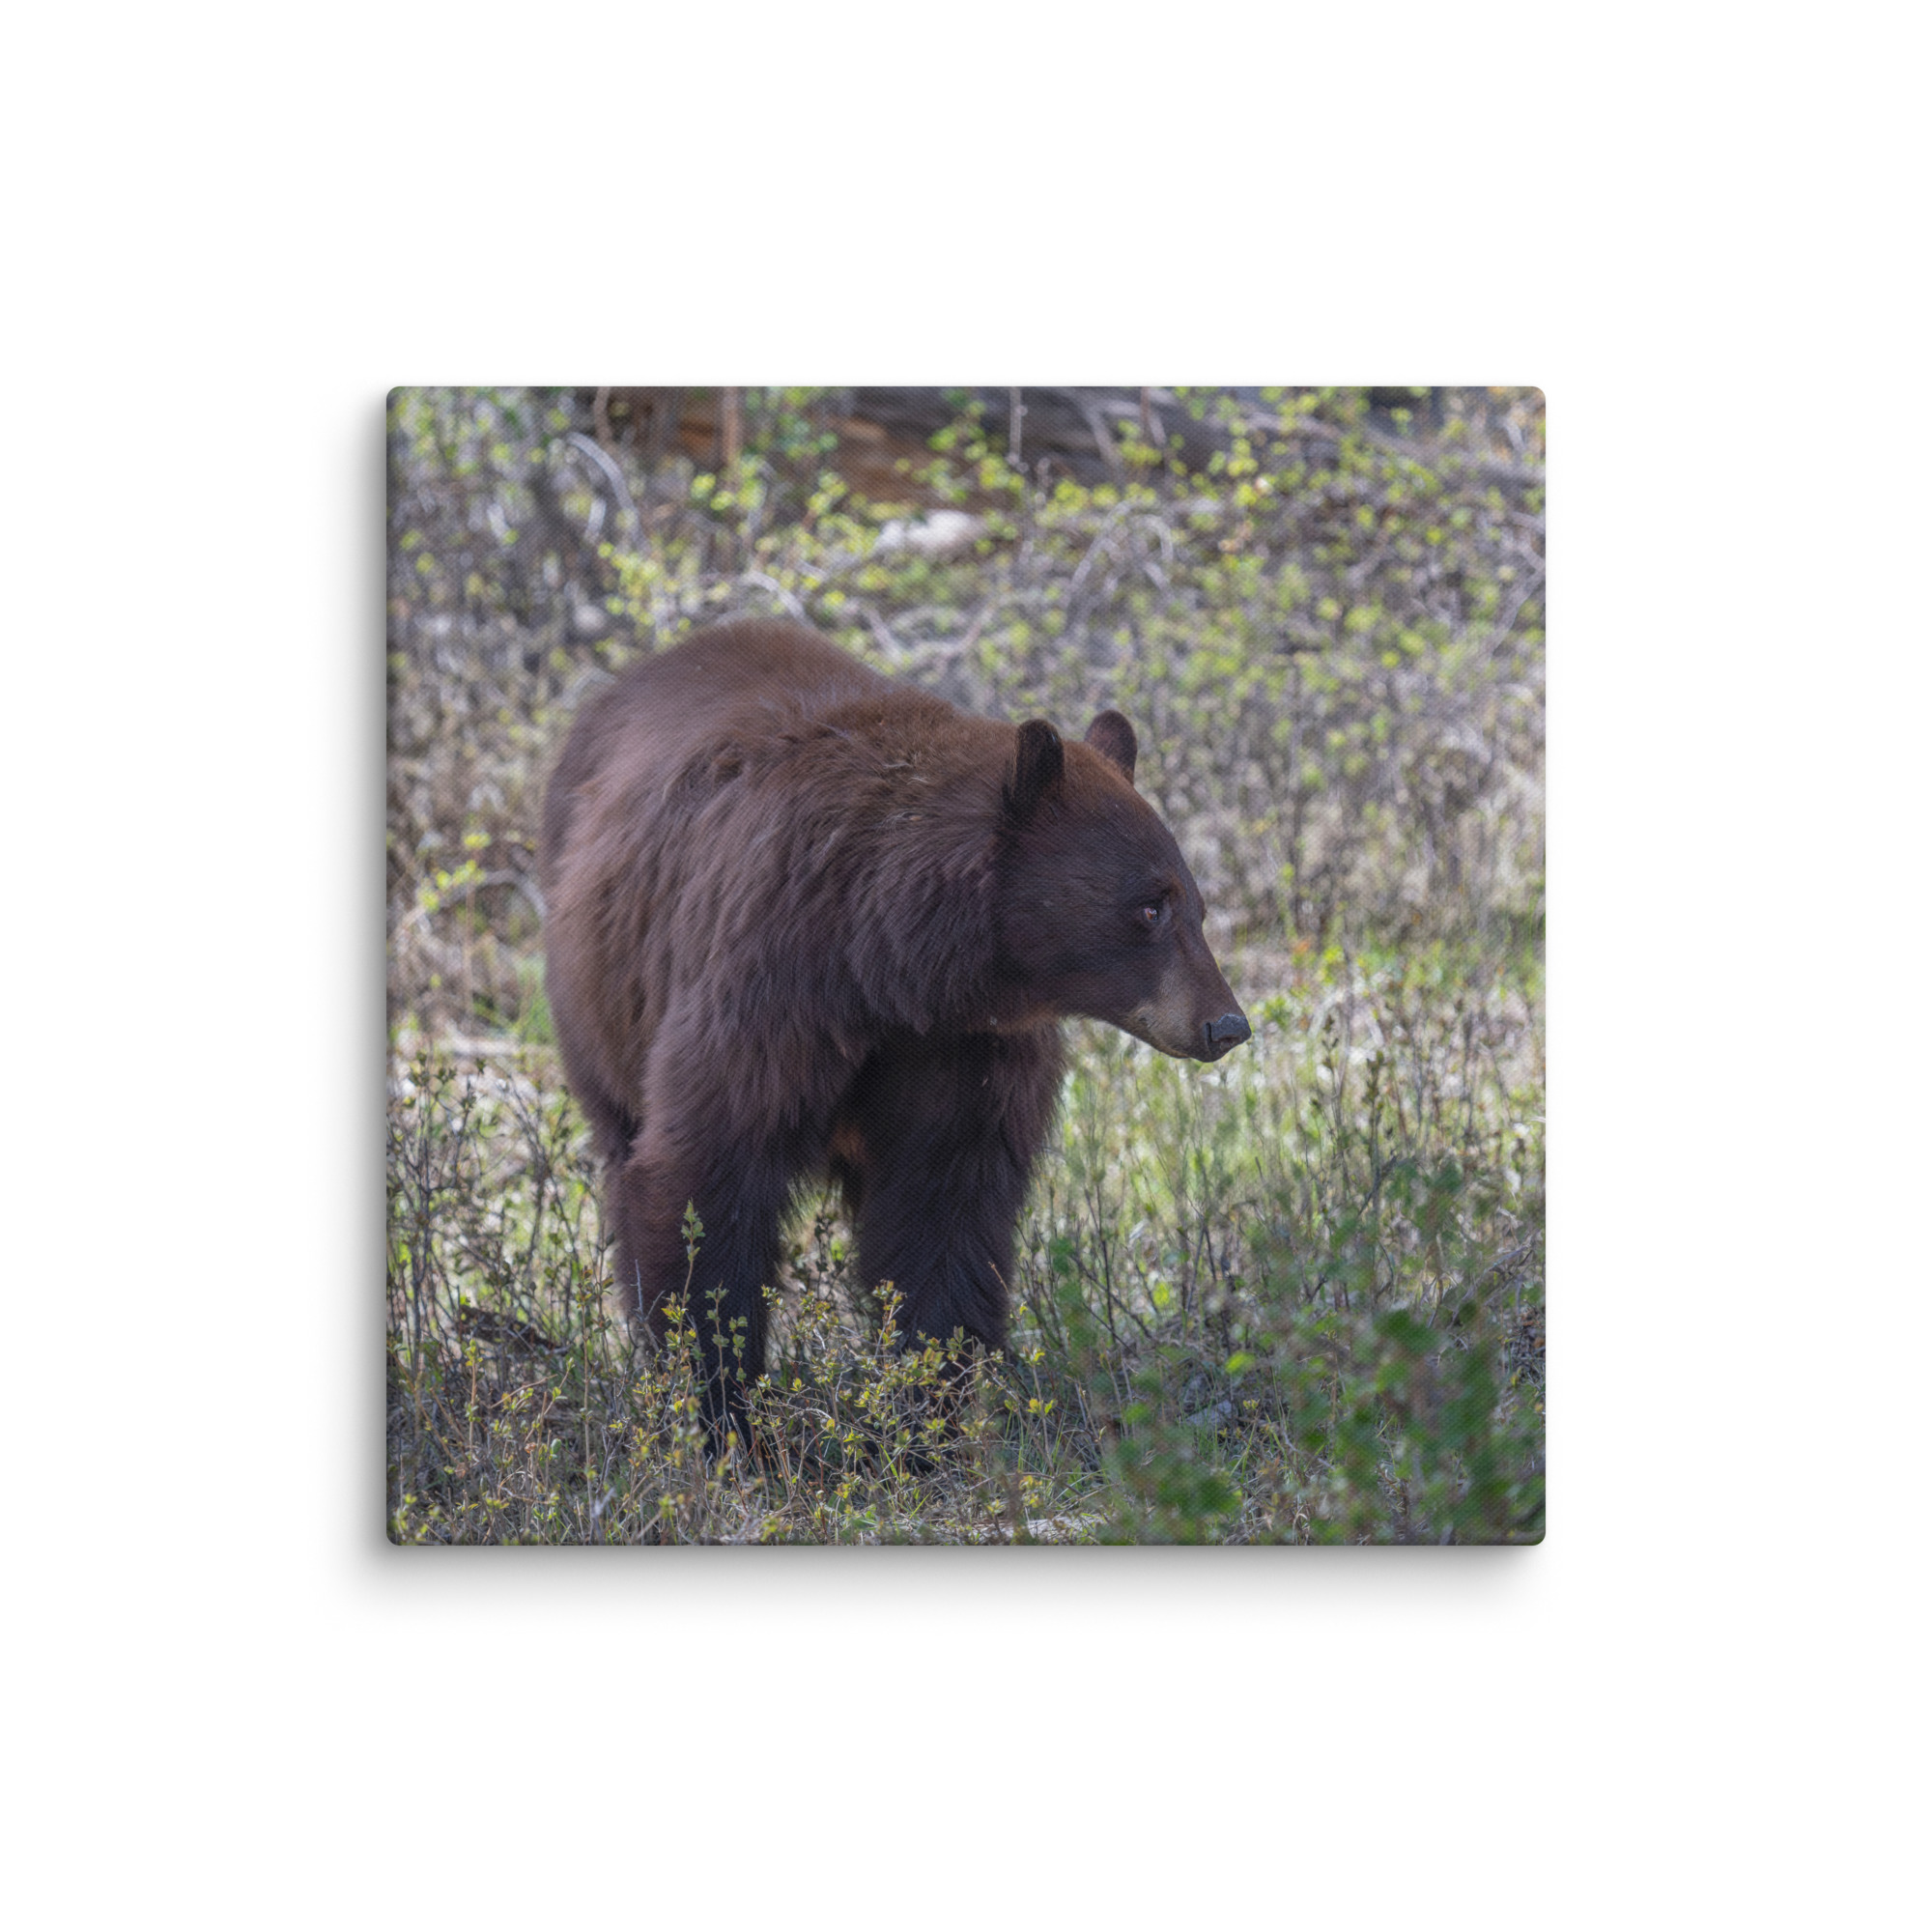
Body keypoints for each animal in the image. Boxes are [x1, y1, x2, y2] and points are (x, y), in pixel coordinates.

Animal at [539, 617, 1248, 1436]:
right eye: (1149, 907)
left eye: (1196, 905)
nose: (1226, 1024)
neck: (890, 964)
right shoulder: (768, 987)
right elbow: (706, 1174)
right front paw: (721, 1411)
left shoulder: (965, 1049)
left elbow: (943, 1211)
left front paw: (927, 1416)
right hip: (599, 1001)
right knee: (623, 1147)